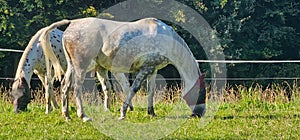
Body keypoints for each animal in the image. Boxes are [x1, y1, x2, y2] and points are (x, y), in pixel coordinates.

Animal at [38, 17, 205, 121]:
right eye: (202, 93)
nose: (199, 114)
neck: (165, 38)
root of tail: (72, 24)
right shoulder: (144, 70)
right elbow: (133, 89)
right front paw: (123, 113)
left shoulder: (152, 69)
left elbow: (151, 91)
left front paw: (151, 113)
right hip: (81, 67)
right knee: (76, 88)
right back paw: (83, 116)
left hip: (72, 66)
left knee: (65, 86)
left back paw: (67, 116)